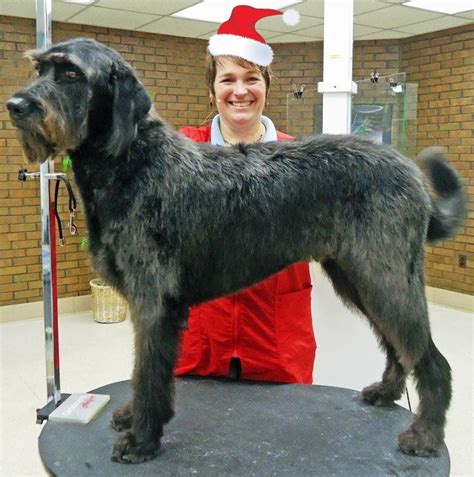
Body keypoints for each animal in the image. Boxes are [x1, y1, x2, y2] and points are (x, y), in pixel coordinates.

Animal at [7, 39, 464, 462]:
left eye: (71, 74)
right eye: (40, 68)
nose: (15, 105)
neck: (131, 161)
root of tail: (411, 172)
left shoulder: (153, 304)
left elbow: (149, 372)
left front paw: (142, 438)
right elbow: (142, 372)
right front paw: (133, 416)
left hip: (385, 279)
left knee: (431, 360)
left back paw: (425, 435)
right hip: (359, 279)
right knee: (397, 346)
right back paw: (386, 392)